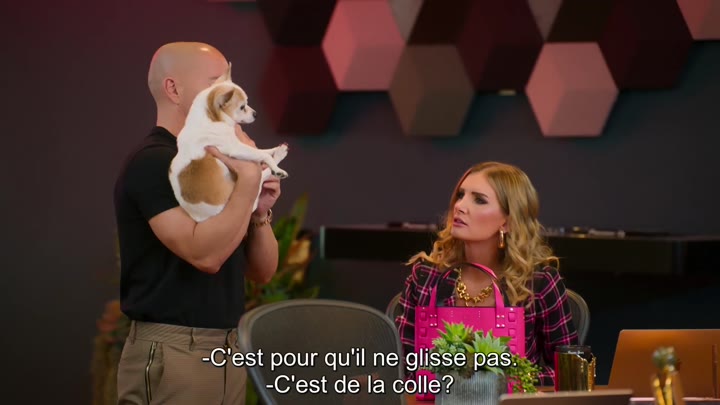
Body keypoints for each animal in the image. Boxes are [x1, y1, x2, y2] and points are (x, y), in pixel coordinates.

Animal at [169, 63, 288, 223]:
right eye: (242, 107)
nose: (256, 114)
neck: (209, 120)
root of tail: (201, 218)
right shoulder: (235, 148)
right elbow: (263, 155)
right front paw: (275, 163)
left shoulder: (239, 145)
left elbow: (261, 151)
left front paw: (275, 149)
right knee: (262, 178)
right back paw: (278, 164)